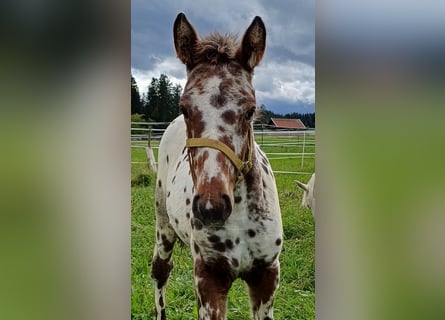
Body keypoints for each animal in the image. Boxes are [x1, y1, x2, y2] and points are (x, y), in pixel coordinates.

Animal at [151, 12, 282, 320]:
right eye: (184, 108)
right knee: (160, 271)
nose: (212, 207)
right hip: (163, 226)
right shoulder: (209, 277)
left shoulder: (266, 276)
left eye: (250, 110)